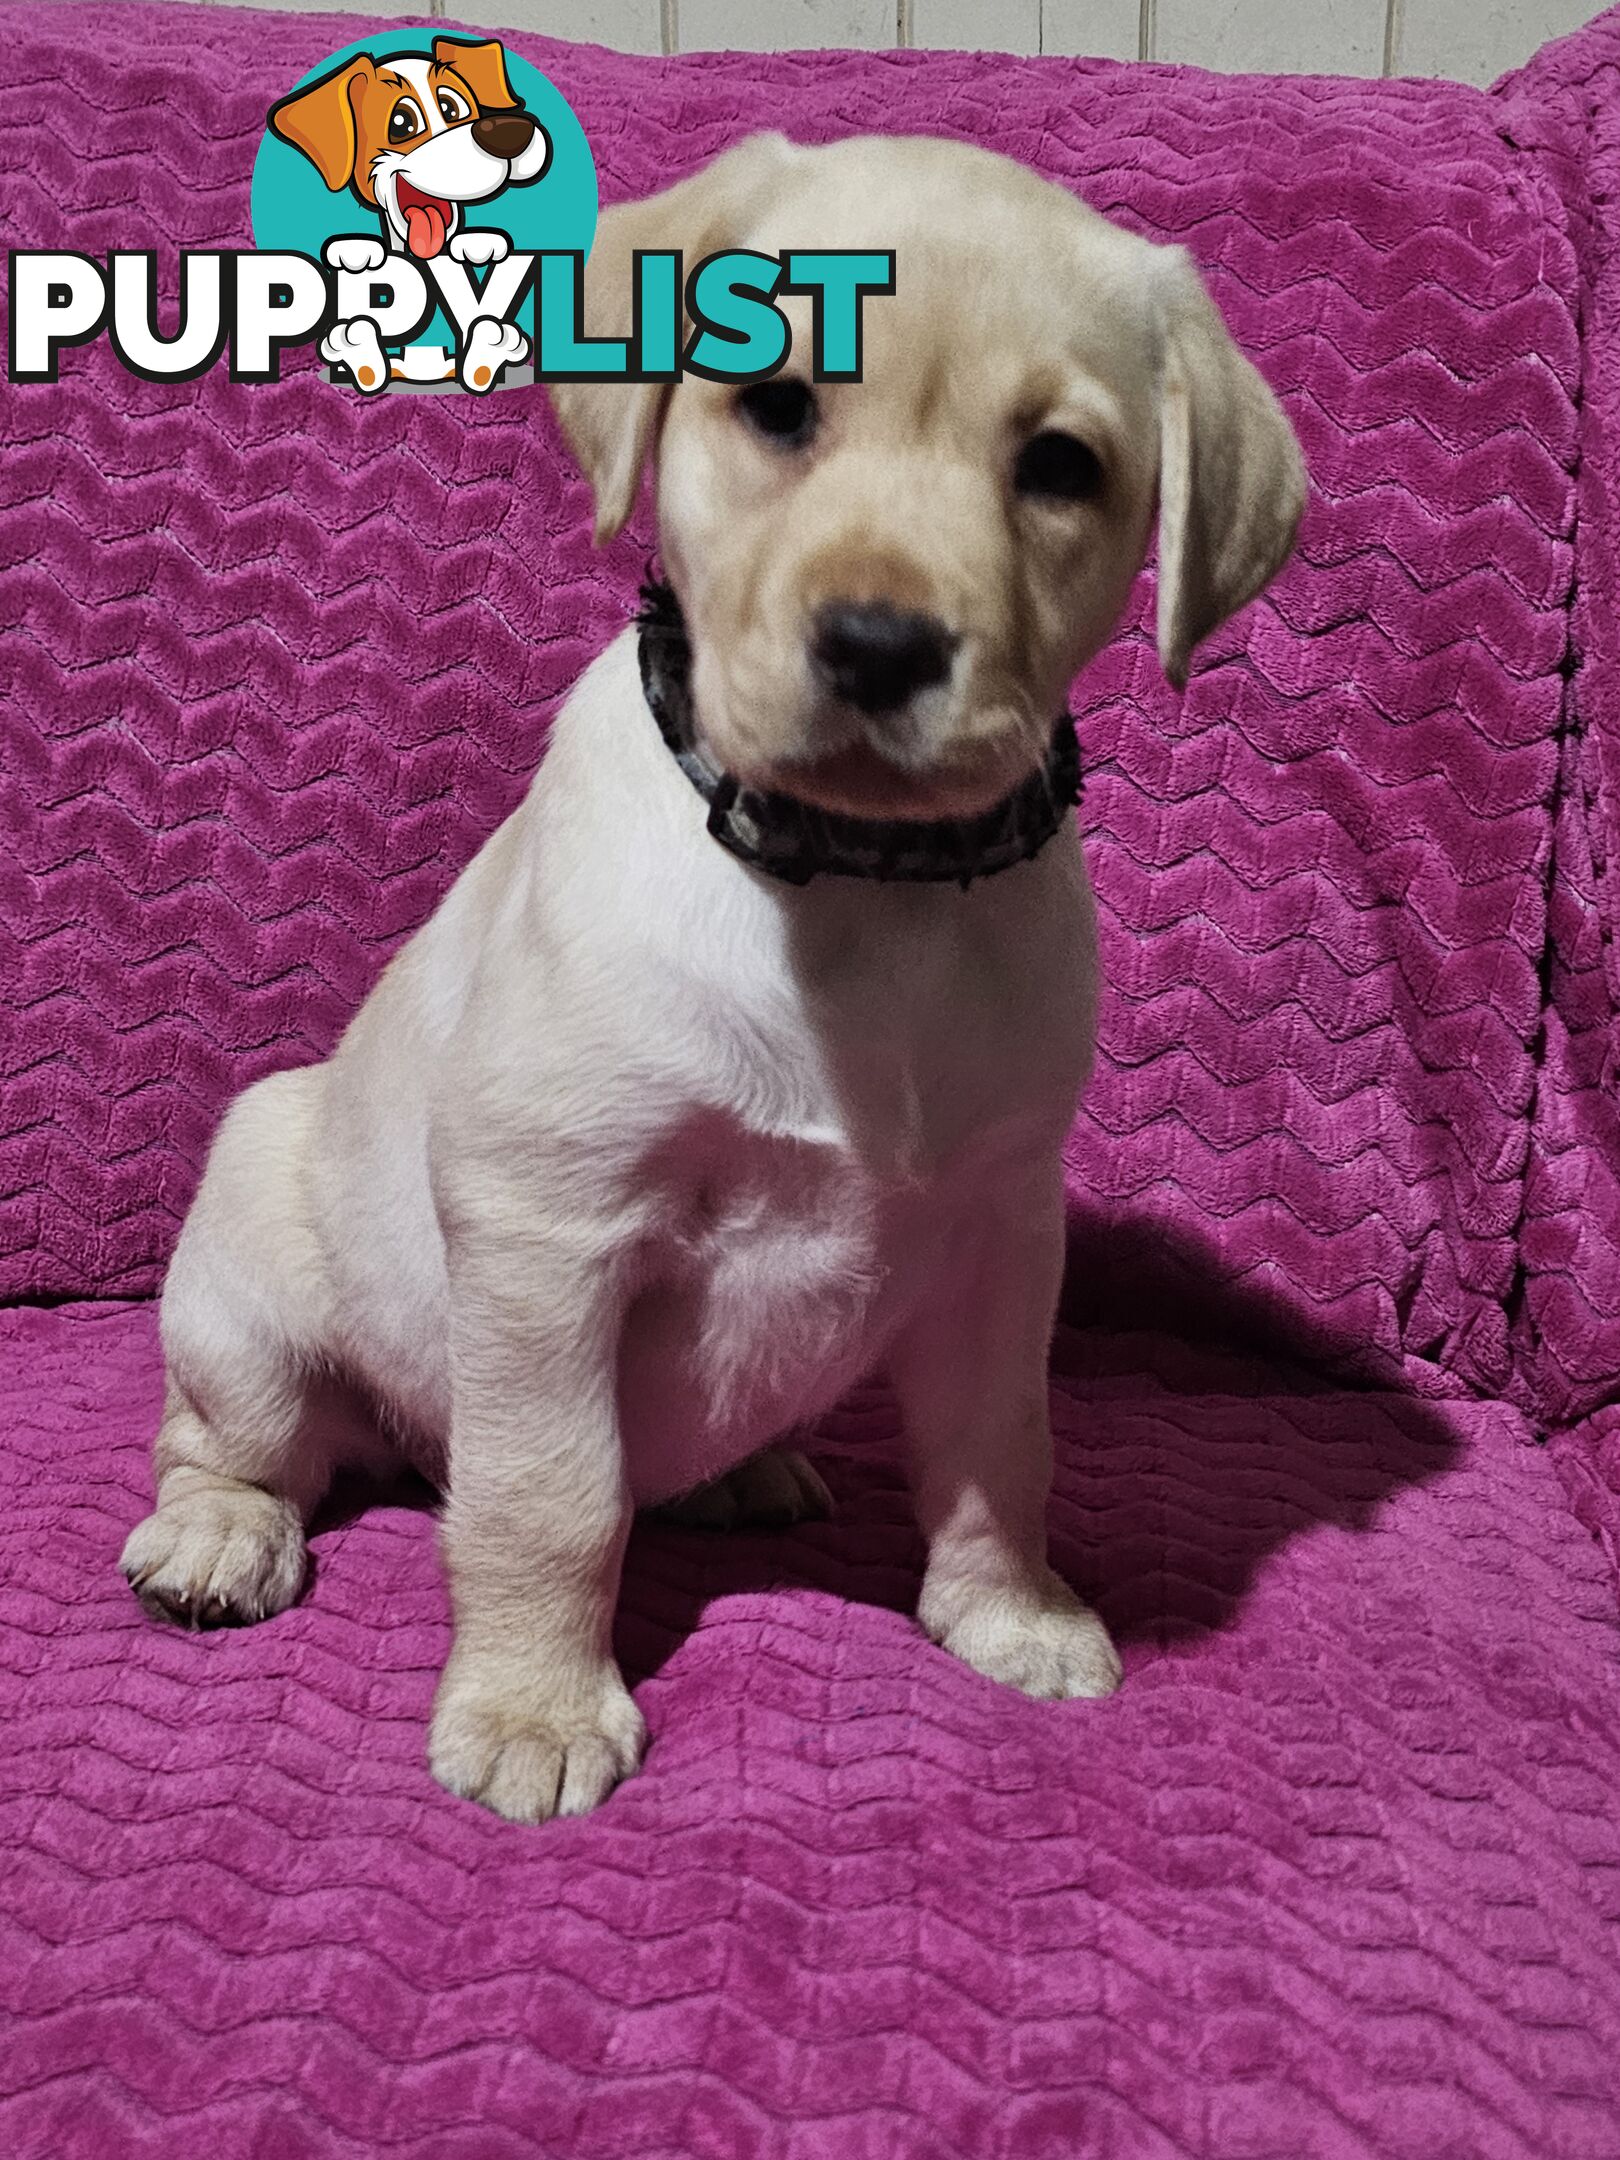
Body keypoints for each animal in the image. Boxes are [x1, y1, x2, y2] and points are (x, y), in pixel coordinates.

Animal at [120, 139, 1304, 1823]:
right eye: (778, 405)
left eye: (1061, 466)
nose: (879, 644)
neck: (856, 889)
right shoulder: (551, 1230)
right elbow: (551, 1496)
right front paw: (536, 1707)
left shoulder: (1004, 1229)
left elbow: (1002, 1448)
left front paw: (1009, 1612)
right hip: (254, 1299)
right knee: (231, 1441)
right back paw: (220, 1536)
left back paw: (746, 1470)